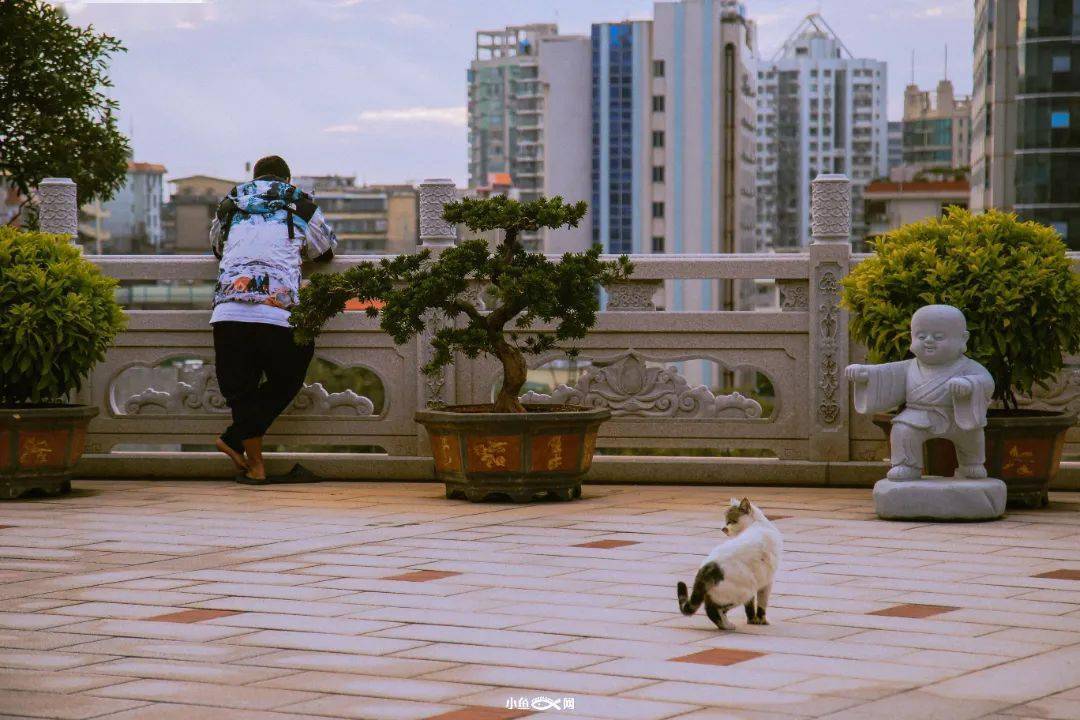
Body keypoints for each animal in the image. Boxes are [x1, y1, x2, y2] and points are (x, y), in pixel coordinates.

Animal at [678, 498, 781, 626]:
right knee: (713, 609)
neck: (757, 525)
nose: (723, 528)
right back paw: (727, 625)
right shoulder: (767, 582)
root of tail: (706, 568)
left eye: (732, 521)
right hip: (744, 591)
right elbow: (762, 604)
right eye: (726, 521)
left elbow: (750, 607)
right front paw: (761, 621)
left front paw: (752, 620)